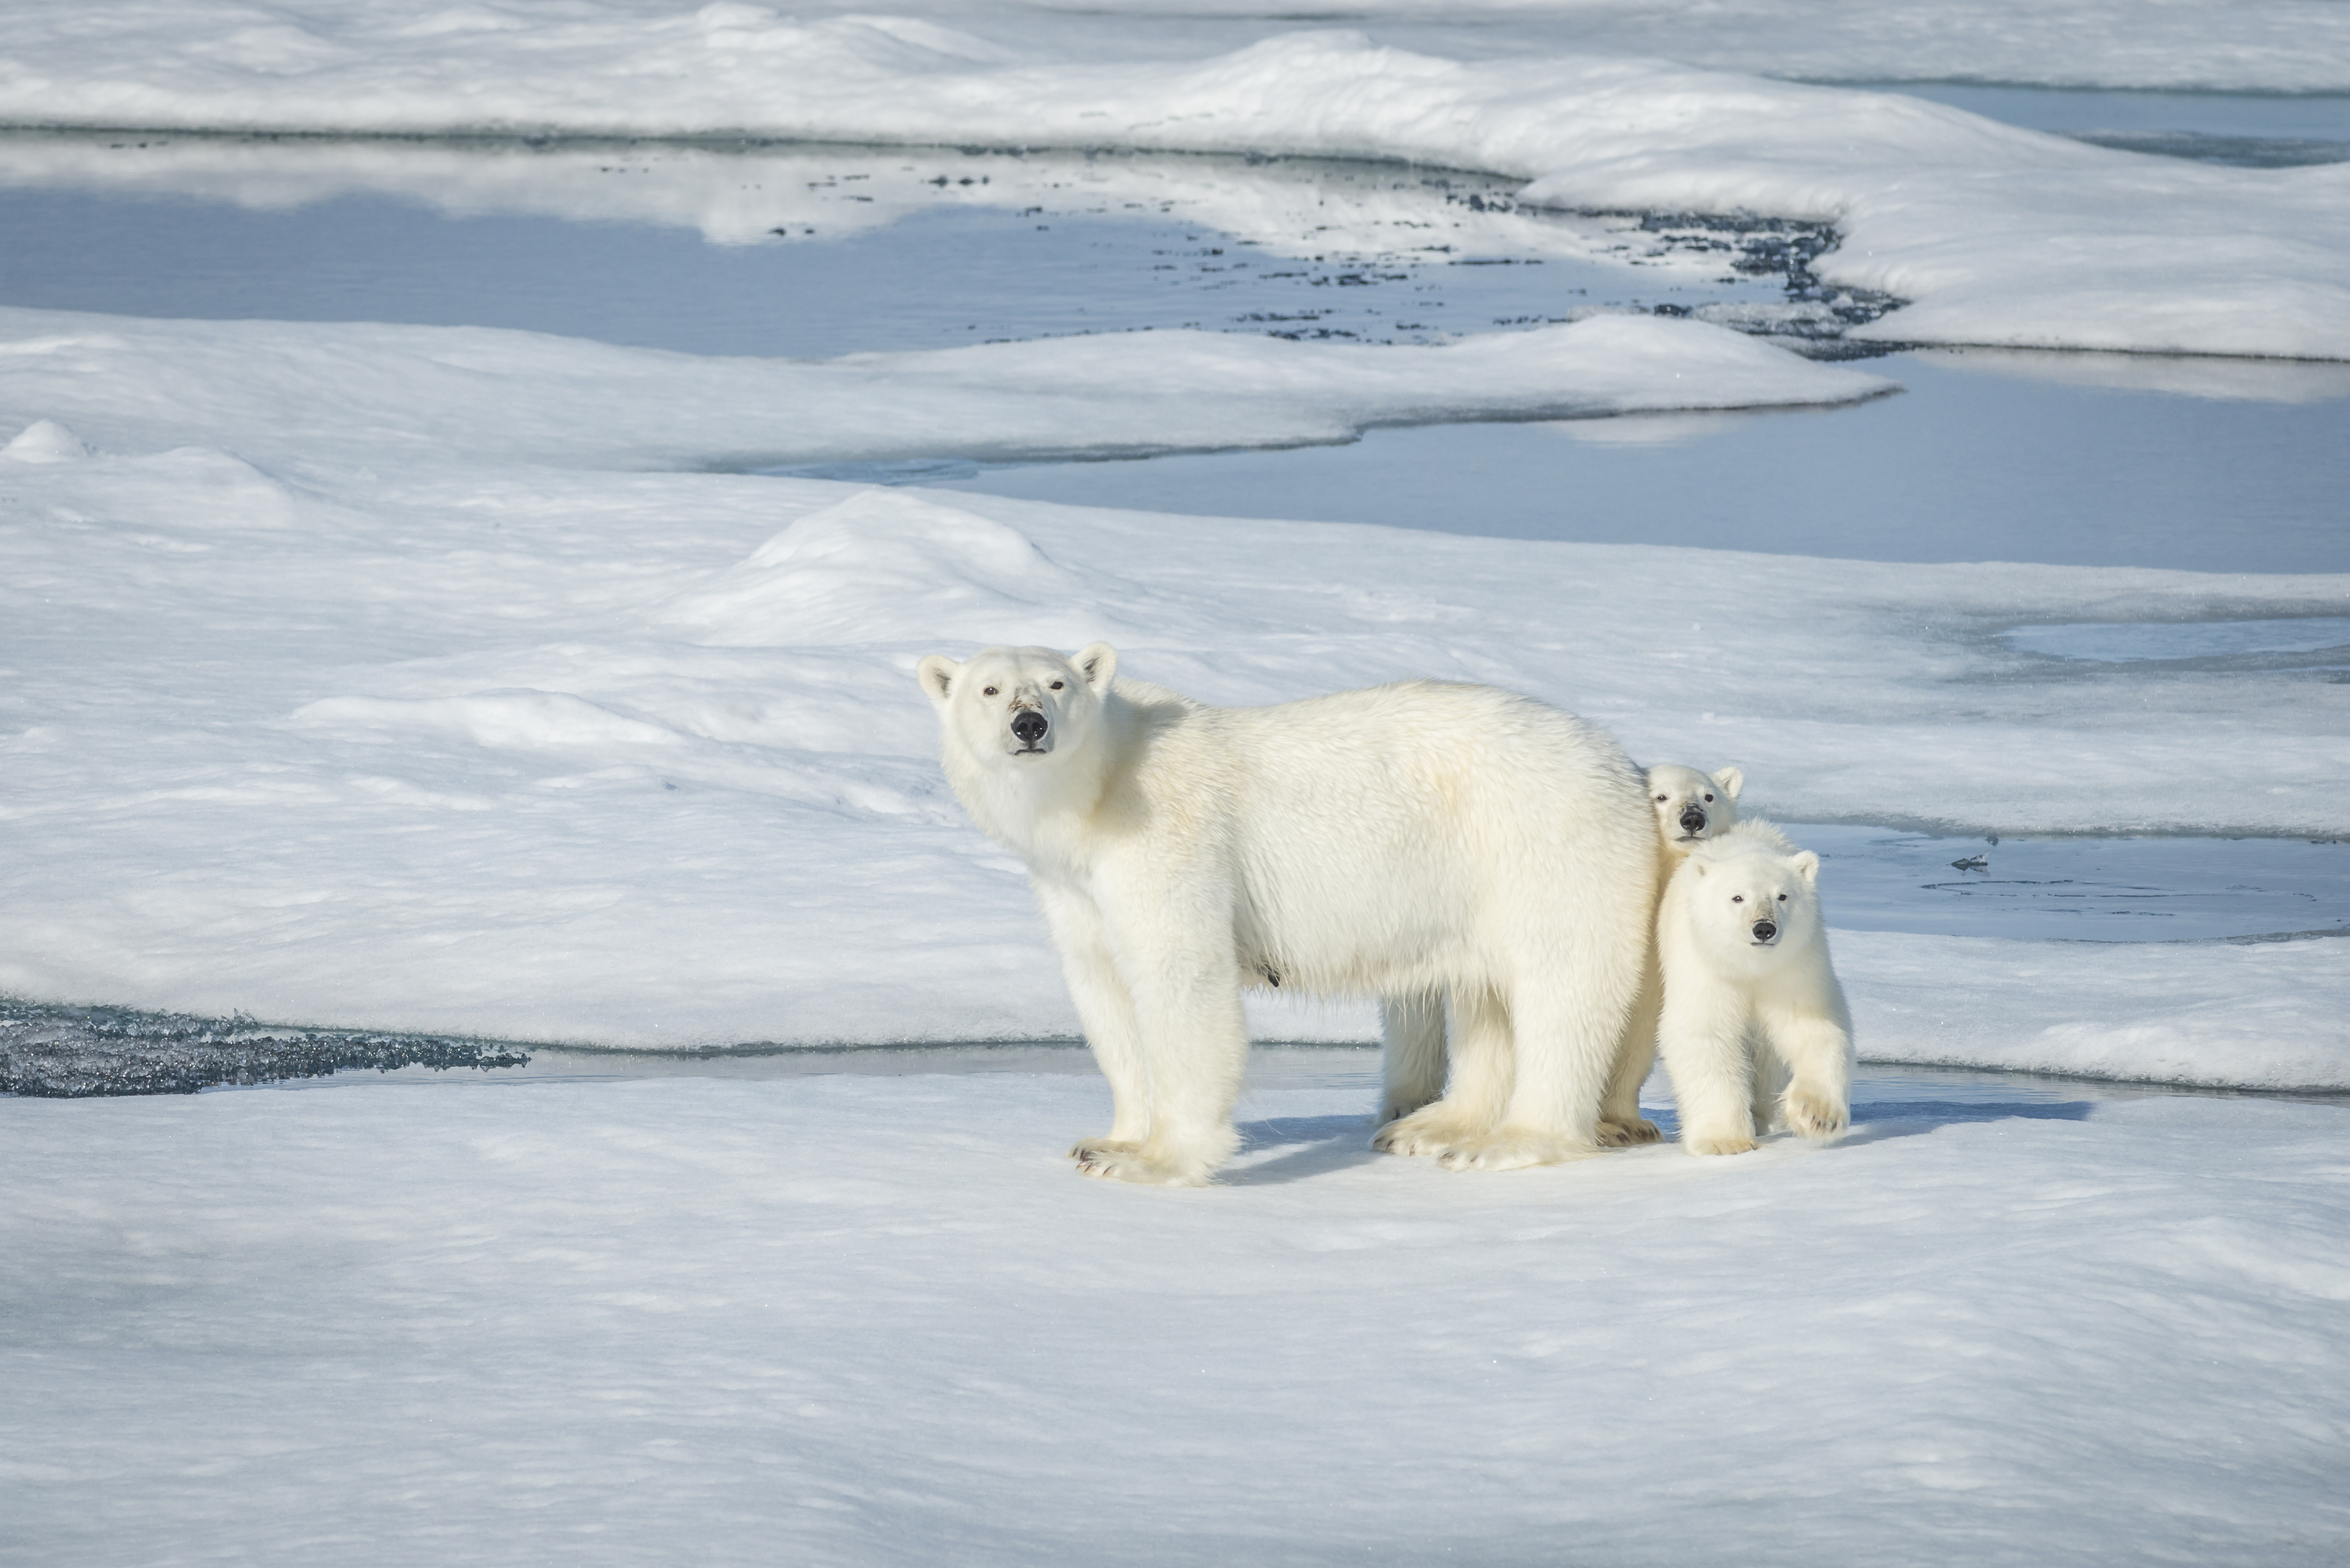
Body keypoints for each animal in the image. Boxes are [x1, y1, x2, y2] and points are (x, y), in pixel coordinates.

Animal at [916, 644, 1654, 1184]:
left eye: (1057, 683)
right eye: (989, 690)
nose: (1029, 723)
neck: (1097, 793)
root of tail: (1620, 760)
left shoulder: (1166, 836)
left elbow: (1181, 977)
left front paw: (1156, 1160)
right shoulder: (1074, 885)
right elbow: (1103, 989)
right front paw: (1107, 1141)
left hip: (1541, 842)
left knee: (1560, 985)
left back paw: (1506, 1141)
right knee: (1484, 994)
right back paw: (1432, 1126)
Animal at [1654, 818, 1852, 1161]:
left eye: (1783, 896)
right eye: (1737, 898)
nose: (1764, 928)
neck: (1750, 967)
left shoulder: (1794, 965)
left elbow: (1812, 1025)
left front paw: (1817, 1114)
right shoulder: (1705, 966)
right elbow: (1705, 1033)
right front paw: (1725, 1141)